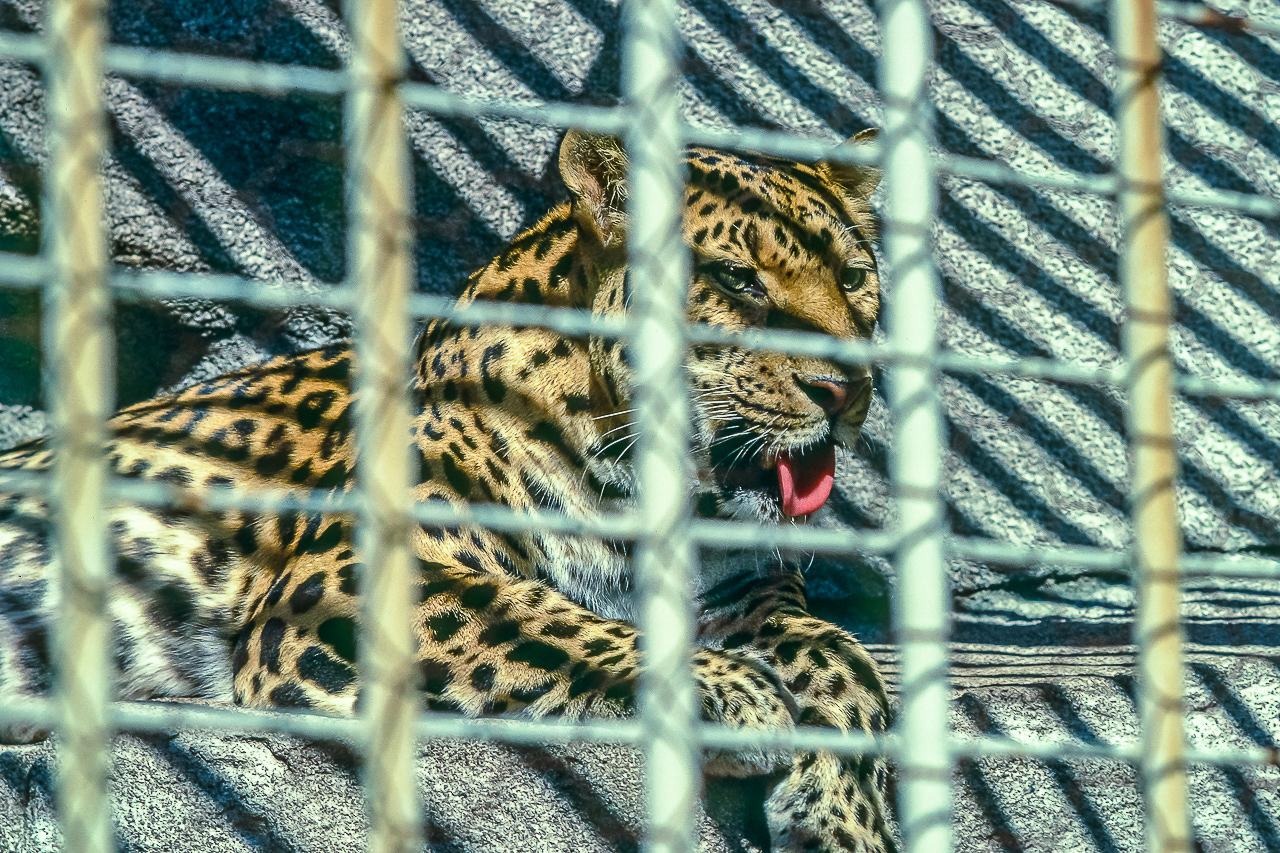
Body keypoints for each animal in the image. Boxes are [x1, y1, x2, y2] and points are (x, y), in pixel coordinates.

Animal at [0, 128, 896, 850]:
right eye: (739, 280)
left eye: (856, 277)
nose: (847, 388)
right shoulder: (340, 578)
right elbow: (543, 618)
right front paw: (734, 691)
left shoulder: (744, 590)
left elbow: (841, 653)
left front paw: (846, 818)